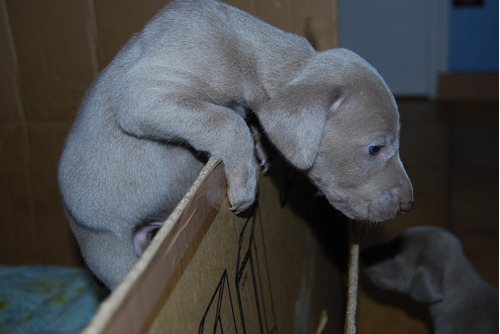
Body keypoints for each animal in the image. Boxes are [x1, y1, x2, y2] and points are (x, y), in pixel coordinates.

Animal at [57, 0, 414, 288]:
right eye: (375, 148)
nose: (408, 204)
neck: (249, 52)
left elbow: (240, 120)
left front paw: (260, 145)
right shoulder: (143, 93)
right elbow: (227, 121)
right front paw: (245, 184)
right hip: (105, 245)